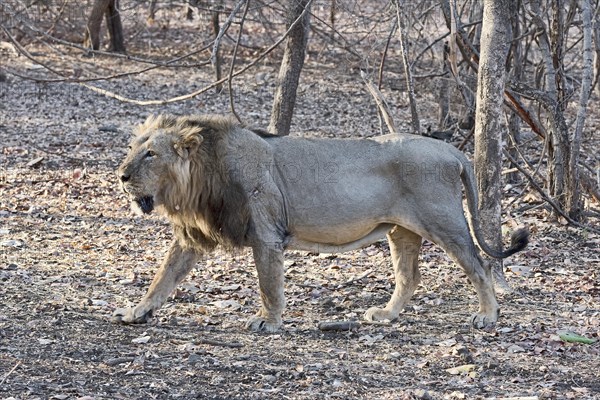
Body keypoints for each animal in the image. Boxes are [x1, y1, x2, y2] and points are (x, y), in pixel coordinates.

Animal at [113, 113, 528, 332]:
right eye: (132, 149)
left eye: (151, 155)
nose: (121, 175)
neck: (200, 179)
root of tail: (451, 149)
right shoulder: (192, 237)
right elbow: (163, 277)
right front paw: (137, 312)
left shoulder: (266, 233)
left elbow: (268, 285)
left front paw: (268, 322)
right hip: (402, 231)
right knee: (410, 276)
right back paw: (385, 315)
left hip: (444, 222)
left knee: (479, 265)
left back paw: (488, 315)